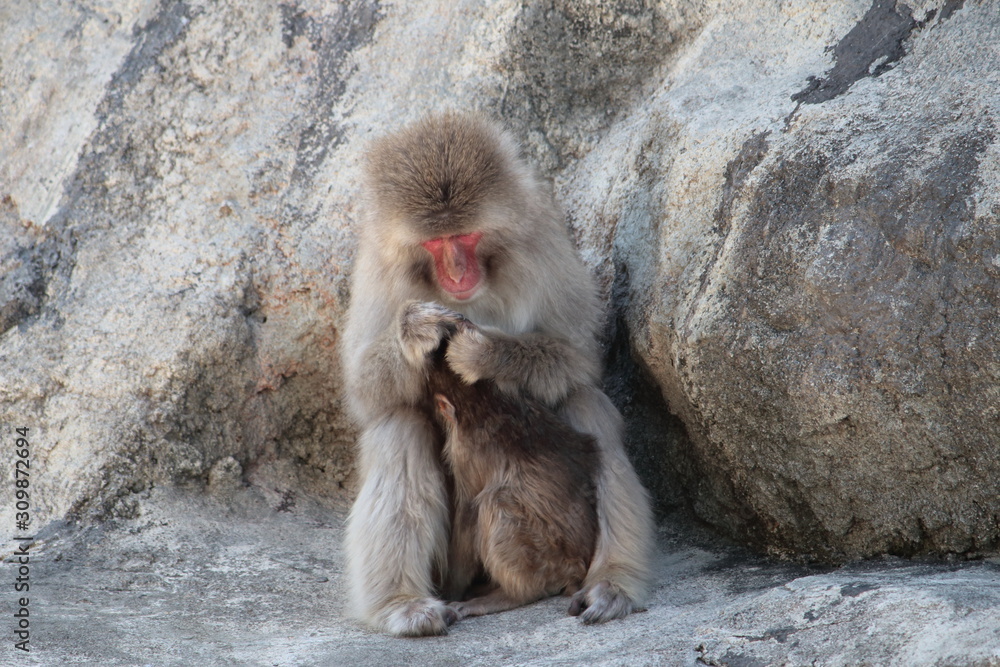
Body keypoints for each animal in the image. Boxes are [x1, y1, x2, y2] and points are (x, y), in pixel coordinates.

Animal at [426, 318, 596, 620]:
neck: (488, 403)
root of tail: (576, 565)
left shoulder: (464, 451)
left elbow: (468, 514)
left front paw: (451, 589)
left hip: (545, 559)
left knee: (496, 501)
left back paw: (510, 595)